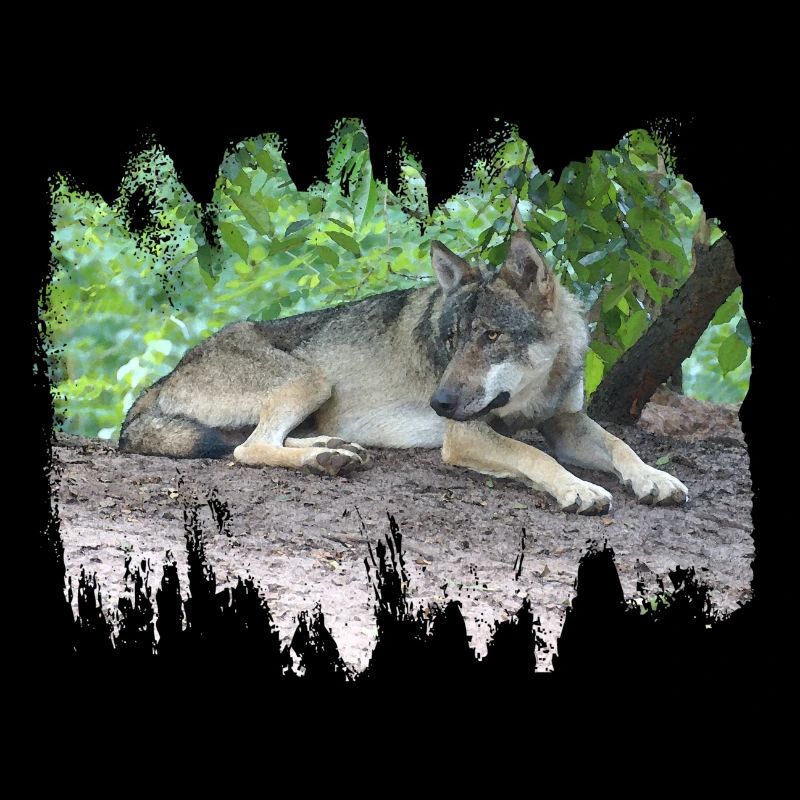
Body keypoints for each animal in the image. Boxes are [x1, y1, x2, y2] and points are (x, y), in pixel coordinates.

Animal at [119, 231, 688, 514]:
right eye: (451, 340)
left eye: (491, 337)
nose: (439, 404)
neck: (536, 386)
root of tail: (165, 376)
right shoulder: (465, 436)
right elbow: (532, 455)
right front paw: (578, 489)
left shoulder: (565, 423)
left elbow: (620, 446)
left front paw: (654, 478)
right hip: (312, 380)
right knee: (247, 449)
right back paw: (324, 460)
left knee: (262, 441)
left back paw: (334, 450)